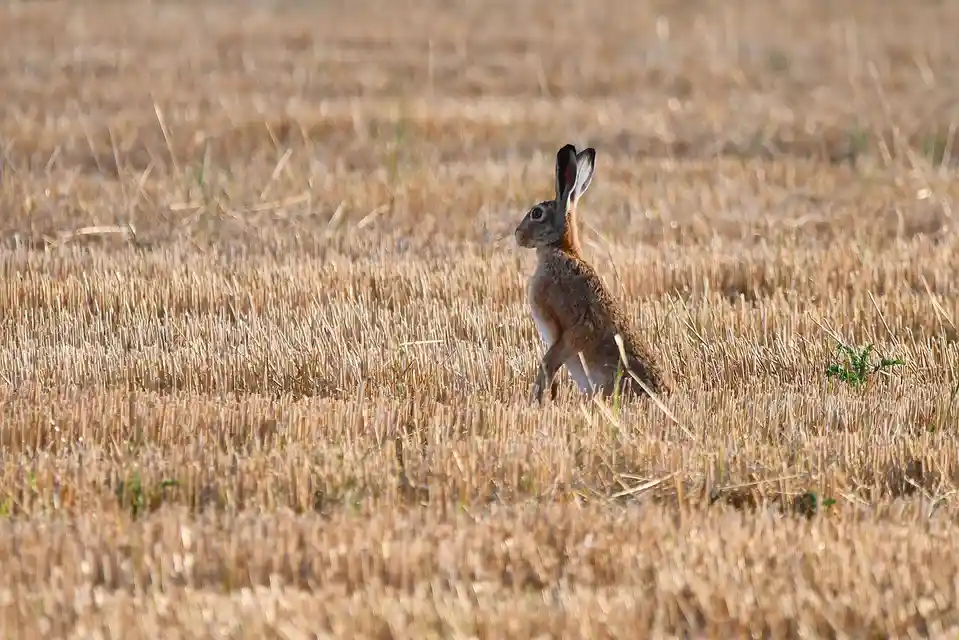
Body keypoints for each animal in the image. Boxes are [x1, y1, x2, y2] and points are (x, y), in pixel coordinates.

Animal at [514, 143, 667, 403]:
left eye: (537, 213)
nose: (518, 235)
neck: (561, 249)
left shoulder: (565, 331)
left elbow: (548, 364)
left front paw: (537, 401)